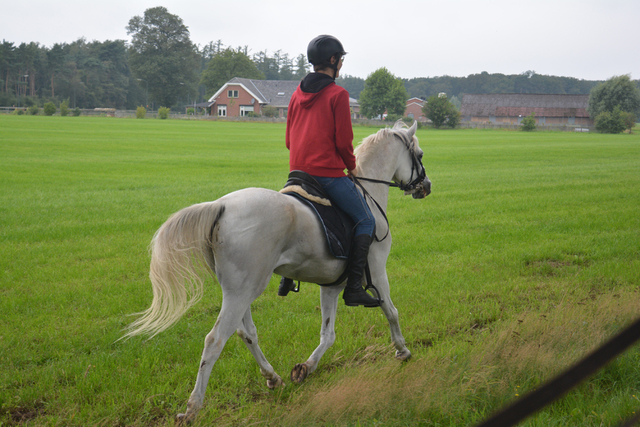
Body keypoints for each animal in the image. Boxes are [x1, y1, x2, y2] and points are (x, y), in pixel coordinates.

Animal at [124, 120, 430, 424]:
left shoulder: (331, 285)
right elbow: (391, 311)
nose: (425, 187)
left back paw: (273, 378)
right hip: (243, 292)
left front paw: (306, 368)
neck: (367, 193)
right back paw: (192, 408)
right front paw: (402, 350)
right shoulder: (376, 271)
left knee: (246, 333)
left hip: (241, 289)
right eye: (420, 154)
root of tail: (221, 206)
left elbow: (328, 334)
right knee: (215, 340)